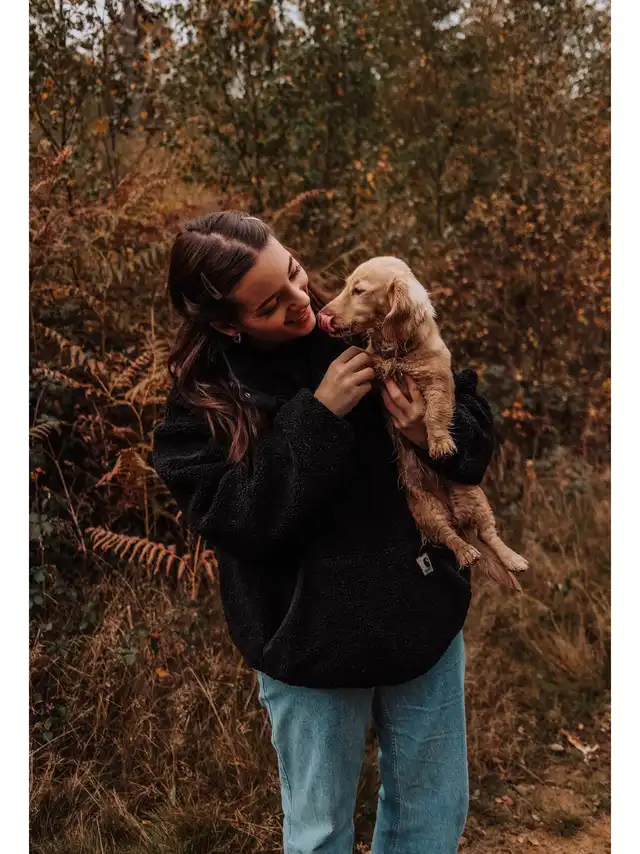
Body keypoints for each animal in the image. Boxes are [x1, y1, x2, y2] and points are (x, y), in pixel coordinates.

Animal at [317, 256, 528, 590]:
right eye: (346, 286)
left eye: (359, 290)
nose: (323, 315)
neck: (399, 351)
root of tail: (457, 515)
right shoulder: (375, 375)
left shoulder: (438, 382)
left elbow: (435, 413)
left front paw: (440, 443)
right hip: (426, 510)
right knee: (451, 537)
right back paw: (467, 552)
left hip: (476, 497)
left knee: (490, 536)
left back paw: (513, 559)